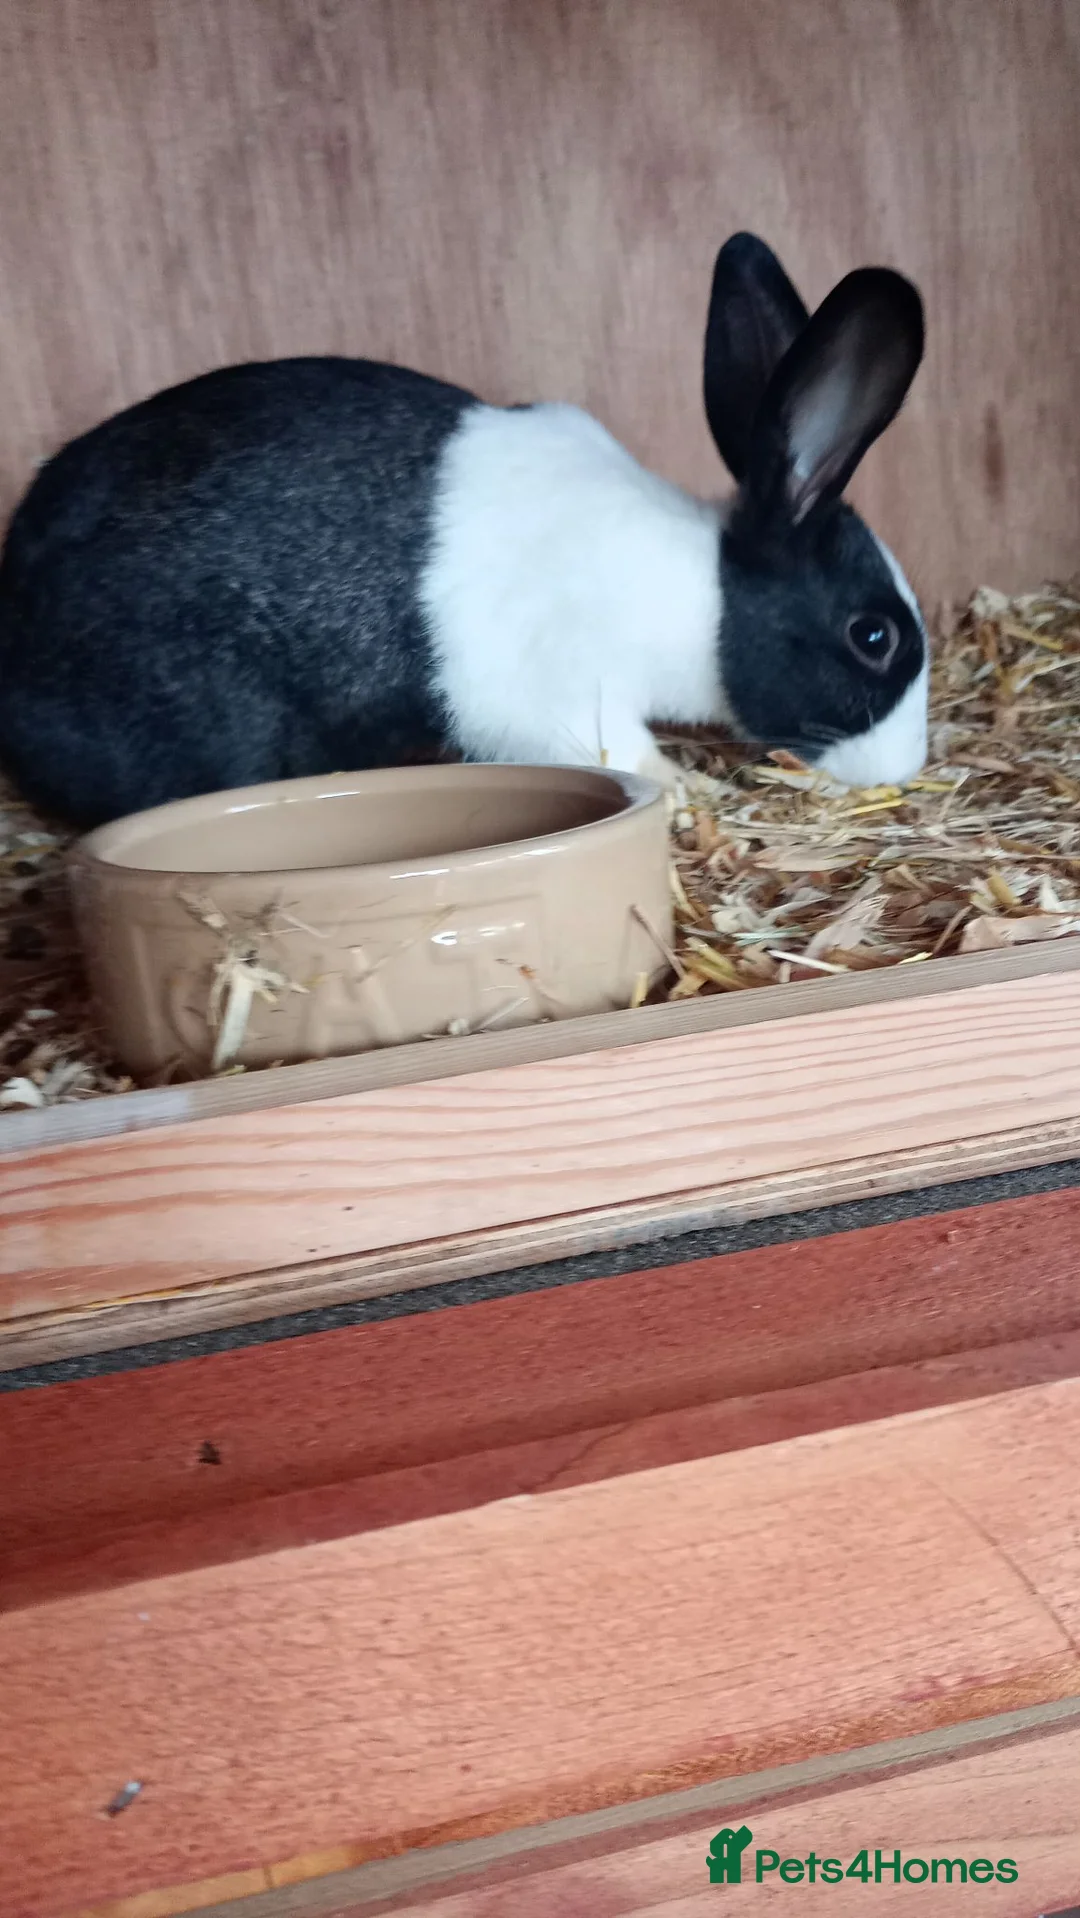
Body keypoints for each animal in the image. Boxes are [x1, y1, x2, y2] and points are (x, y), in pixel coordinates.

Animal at [0, 232, 927, 830]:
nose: (908, 765)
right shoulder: (563, 694)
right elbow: (621, 752)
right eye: (873, 636)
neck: (705, 597)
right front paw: (691, 791)